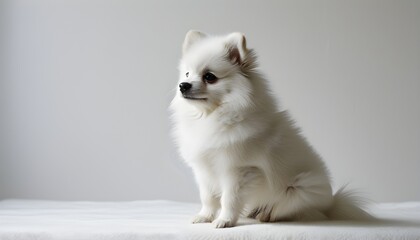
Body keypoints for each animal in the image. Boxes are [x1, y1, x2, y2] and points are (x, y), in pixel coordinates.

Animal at [169, 31, 370, 228]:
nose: (183, 85)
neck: (213, 116)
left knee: (289, 210)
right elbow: (208, 197)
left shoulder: (239, 171)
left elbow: (229, 199)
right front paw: (204, 216)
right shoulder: (204, 169)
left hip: (301, 187)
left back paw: (266, 215)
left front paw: (225, 220)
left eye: (209, 77)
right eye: (187, 74)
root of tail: (330, 205)